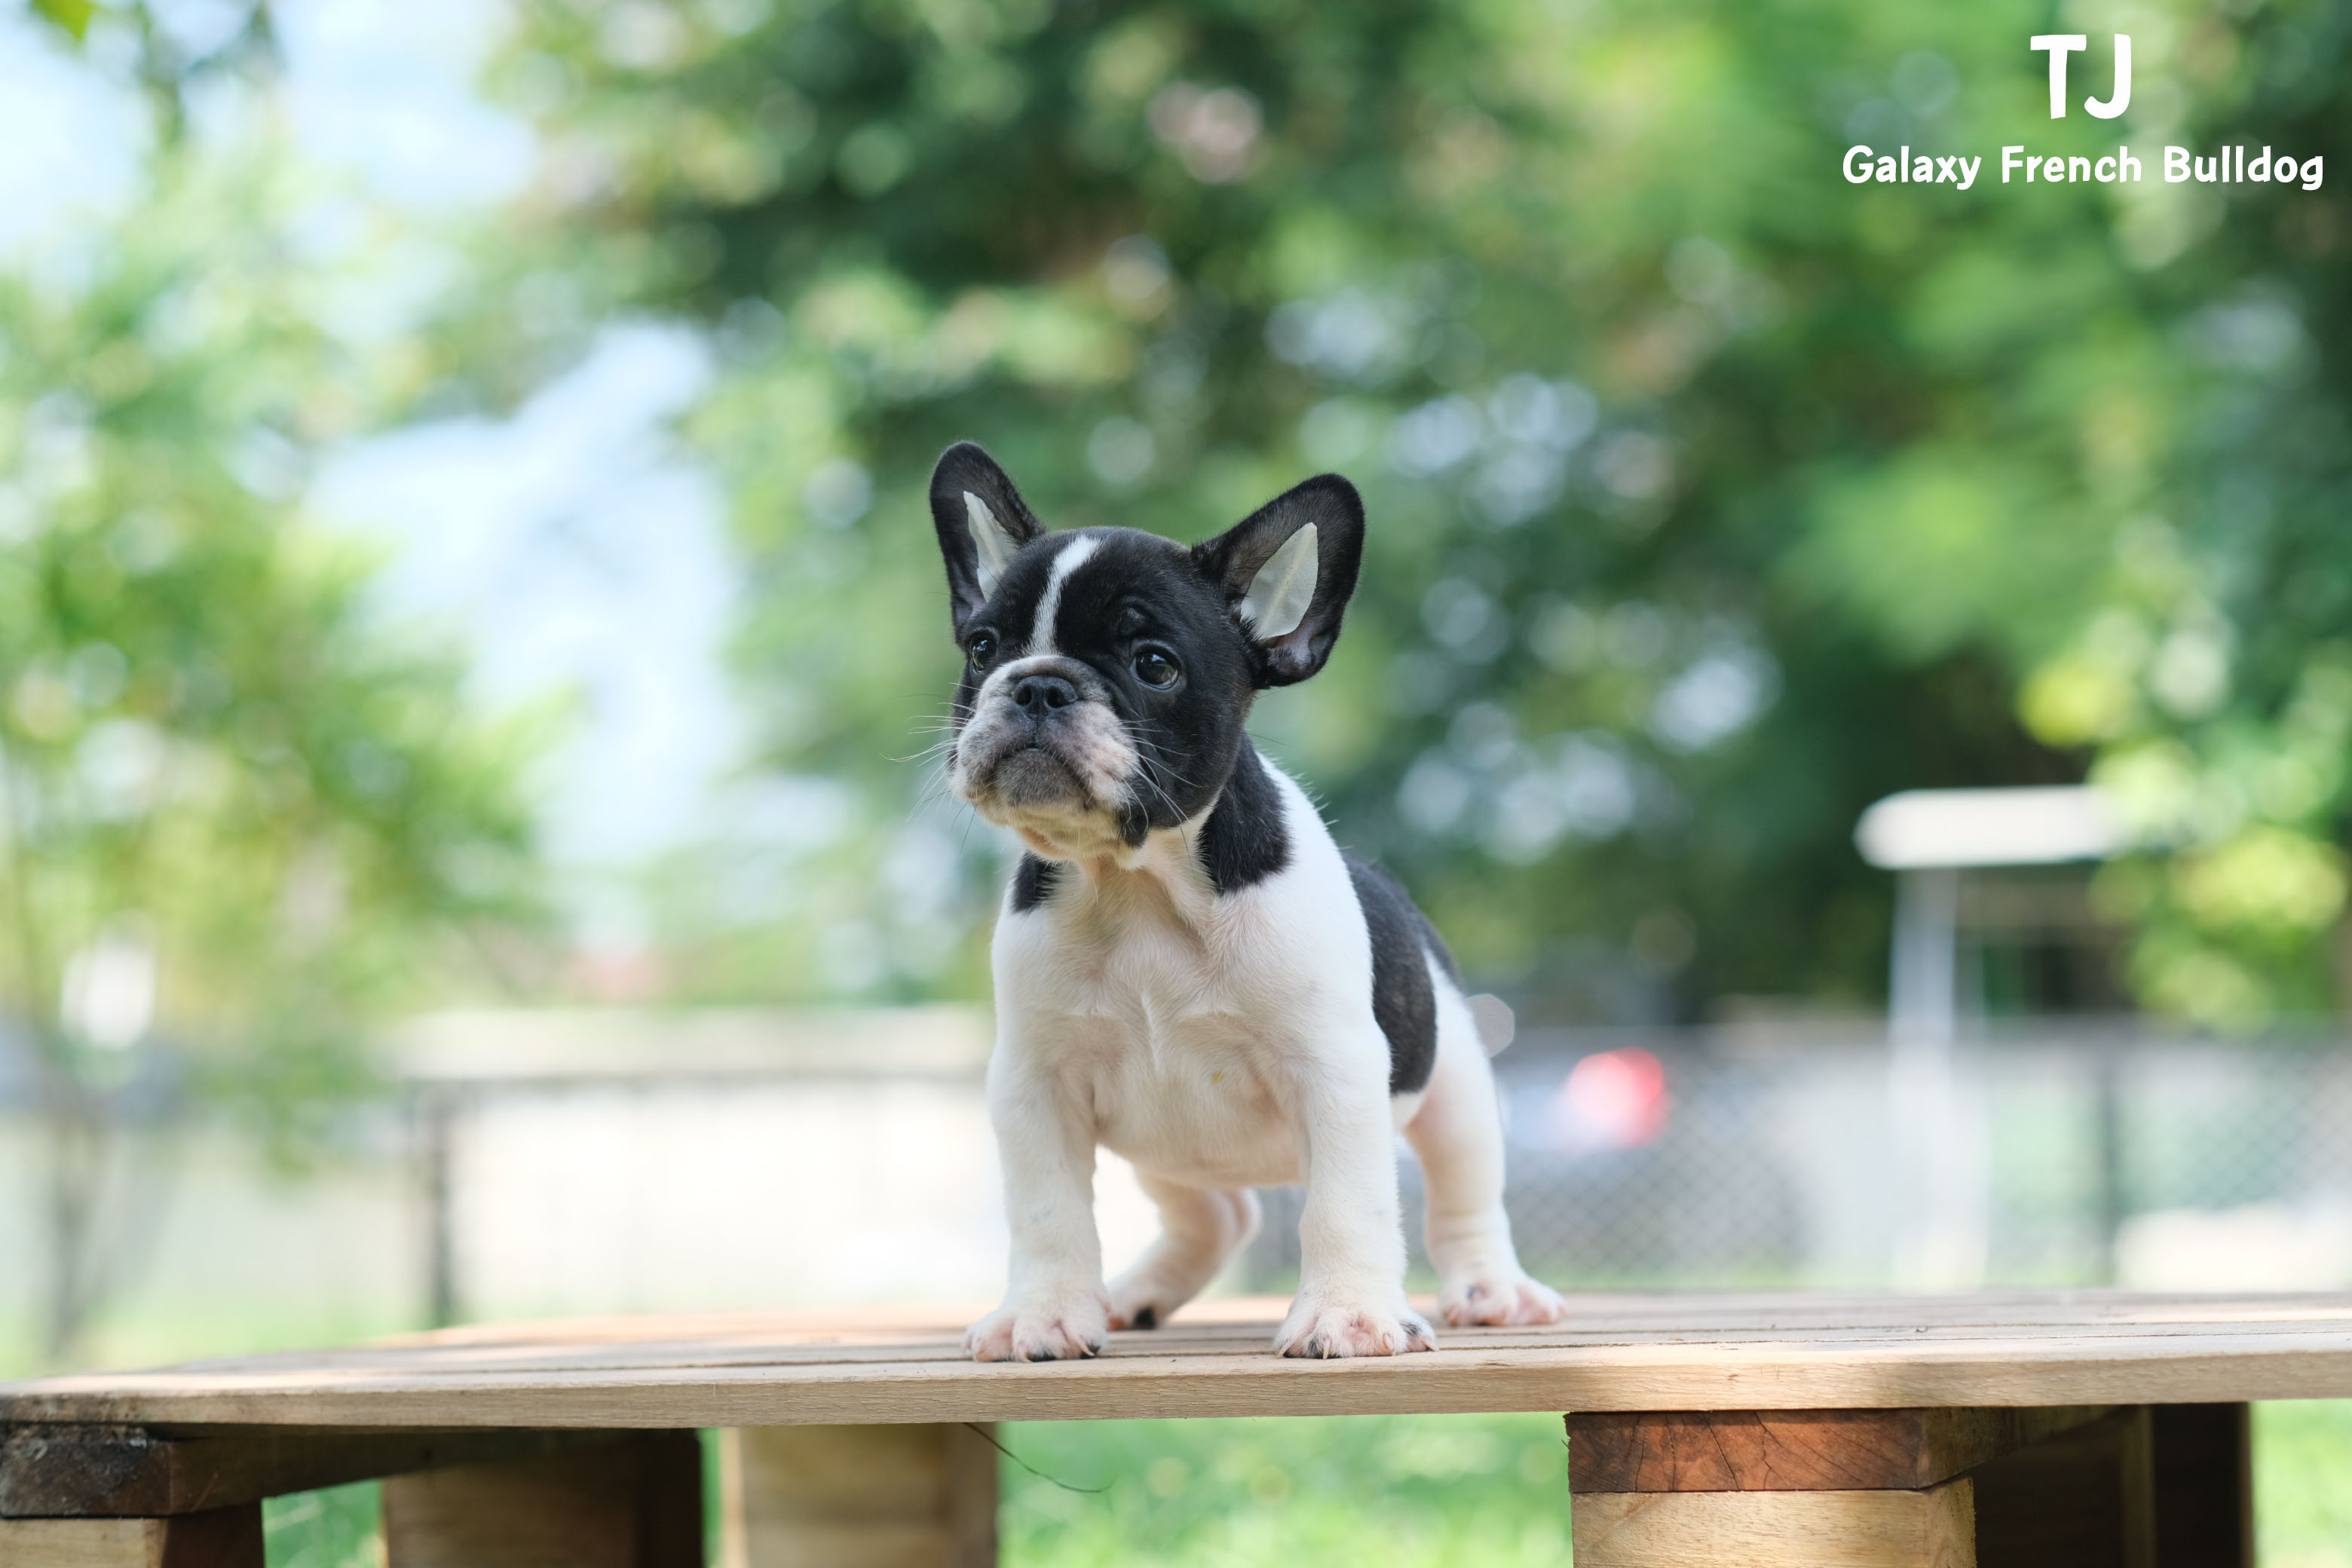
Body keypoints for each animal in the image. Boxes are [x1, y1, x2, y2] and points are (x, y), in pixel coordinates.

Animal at [929, 441, 1567, 1360]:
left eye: (1154, 664)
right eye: (982, 647)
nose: (1037, 686)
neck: (1138, 884)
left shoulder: (1335, 1070)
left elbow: (1347, 1206)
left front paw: (1347, 1313)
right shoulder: (1035, 1084)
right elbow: (1048, 1212)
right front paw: (1044, 1313)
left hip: (1456, 1088)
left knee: (1464, 1195)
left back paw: (1495, 1291)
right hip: (1166, 1148)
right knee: (1220, 1215)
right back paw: (1135, 1295)